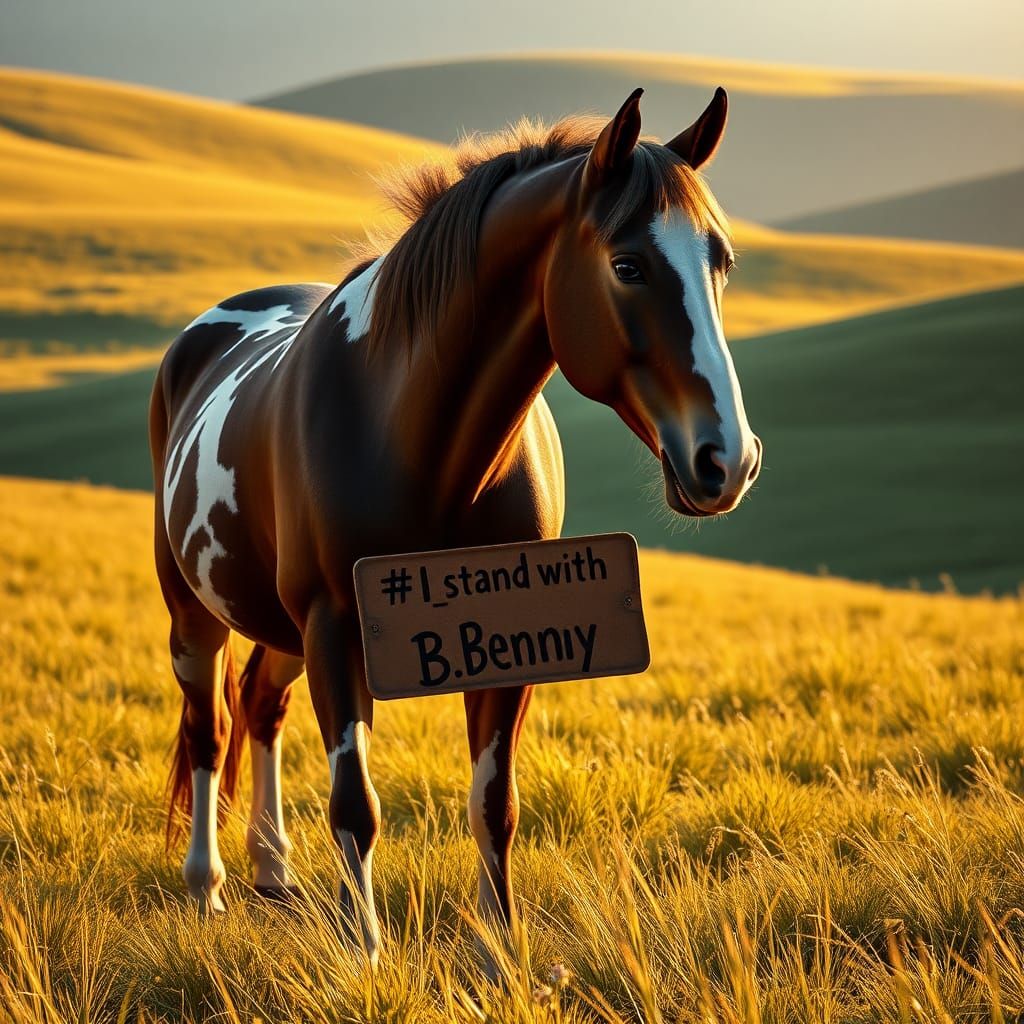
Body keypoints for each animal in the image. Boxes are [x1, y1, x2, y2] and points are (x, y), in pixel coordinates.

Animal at [149, 86, 762, 967]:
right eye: (628, 264)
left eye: (720, 263)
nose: (728, 460)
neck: (412, 432)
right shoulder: (336, 624)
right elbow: (355, 803)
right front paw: (366, 954)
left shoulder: (503, 634)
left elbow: (493, 800)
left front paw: (499, 949)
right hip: (197, 614)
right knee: (209, 728)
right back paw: (209, 887)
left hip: (281, 628)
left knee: (260, 708)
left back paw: (274, 871)